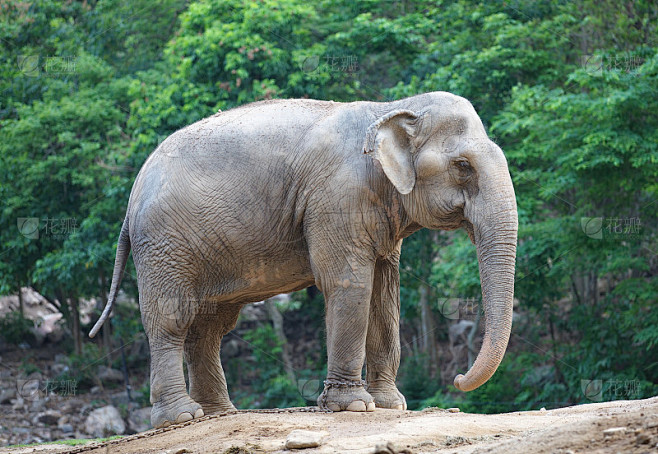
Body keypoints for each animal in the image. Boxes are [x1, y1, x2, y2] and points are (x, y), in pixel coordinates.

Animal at [90, 91, 518, 428]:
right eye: (463, 166)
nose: (458, 379)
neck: (391, 108)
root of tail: (132, 196)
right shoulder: (336, 198)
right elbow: (349, 283)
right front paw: (354, 407)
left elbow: (385, 293)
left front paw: (390, 405)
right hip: (165, 244)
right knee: (172, 318)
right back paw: (182, 417)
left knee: (210, 326)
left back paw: (220, 414)